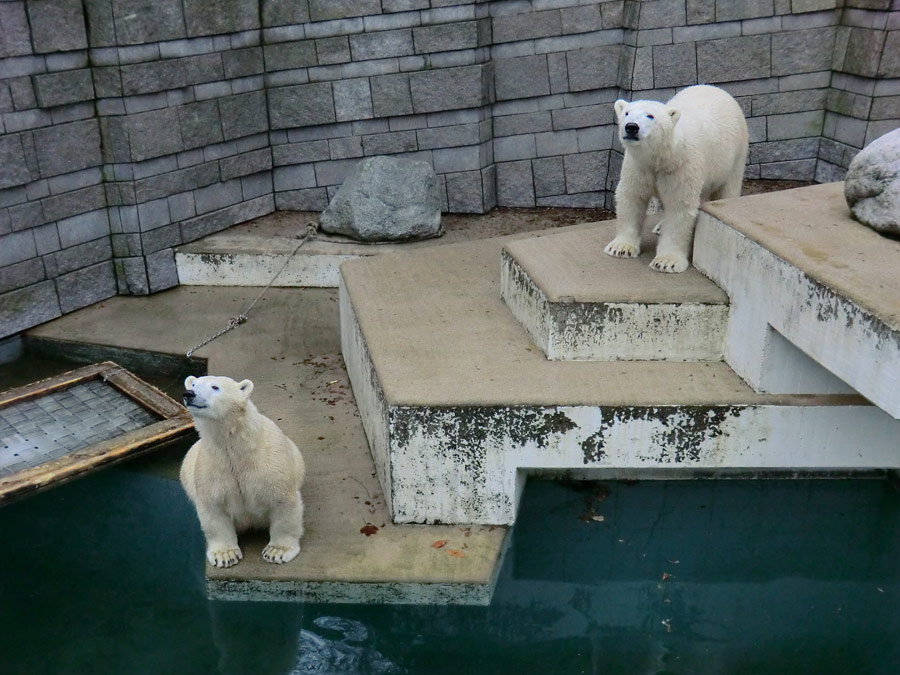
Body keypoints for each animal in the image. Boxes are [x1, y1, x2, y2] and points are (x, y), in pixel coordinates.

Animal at [179, 378, 306, 568]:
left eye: (215, 387)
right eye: (193, 385)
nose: (189, 394)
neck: (238, 446)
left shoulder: (269, 462)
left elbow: (283, 502)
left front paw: (276, 552)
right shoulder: (213, 467)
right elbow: (213, 510)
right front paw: (225, 555)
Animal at [604, 86, 752, 274]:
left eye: (650, 116)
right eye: (627, 113)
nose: (631, 127)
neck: (663, 156)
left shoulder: (682, 168)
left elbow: (679, 207)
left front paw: (666, 262)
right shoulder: (639, 167)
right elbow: (632, 197)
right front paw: (621, 248)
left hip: (735, 155)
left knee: (727, 189)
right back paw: (660, 226)